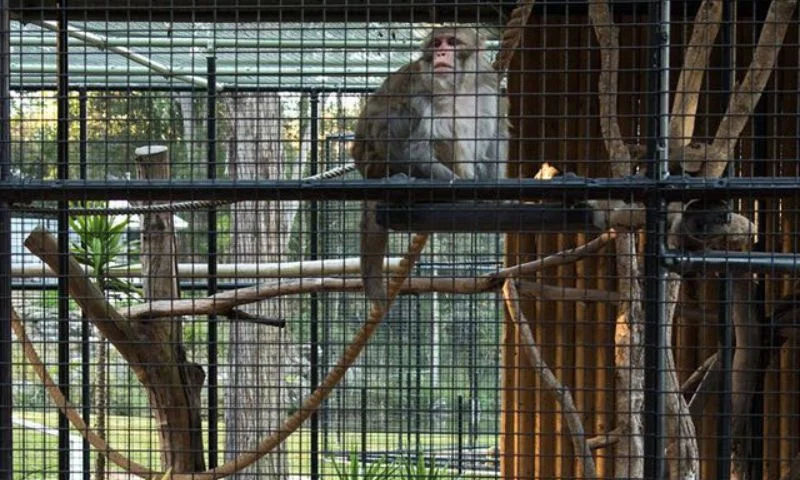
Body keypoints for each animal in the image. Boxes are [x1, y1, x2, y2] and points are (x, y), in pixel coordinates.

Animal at [350, 26, 506, 304]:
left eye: (452, 42)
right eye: (436, 43)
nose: (441, 53)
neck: (456, 87)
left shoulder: (487, 88)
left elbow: (492, 141)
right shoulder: (420, 89)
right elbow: (414, 148)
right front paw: (467, 194)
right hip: (375, 164)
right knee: (397, 120)